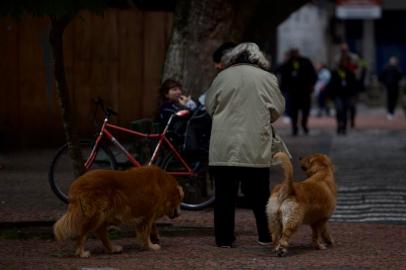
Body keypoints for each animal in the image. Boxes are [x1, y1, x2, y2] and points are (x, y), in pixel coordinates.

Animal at [53, 165, 183, 258]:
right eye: (180, 201)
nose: (180, 214)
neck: (164, 184)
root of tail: (76, 184)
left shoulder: (146, 215)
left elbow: (149, 228)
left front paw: (152, 239)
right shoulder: (148, 214)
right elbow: (146, 232)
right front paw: (150, 246)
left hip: (103, 215)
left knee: (101, 232)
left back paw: (112, 249)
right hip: (96, 215)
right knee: (83, 233)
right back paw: (81, 253)